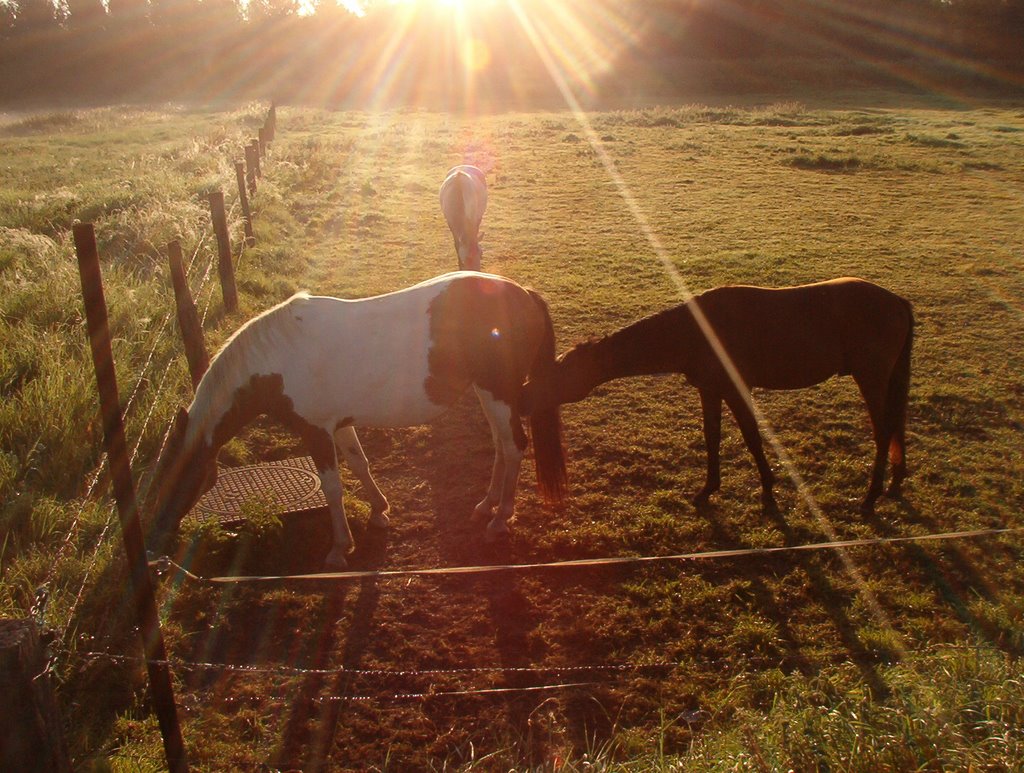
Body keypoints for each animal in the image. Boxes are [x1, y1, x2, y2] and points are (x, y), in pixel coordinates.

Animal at [149, 272, 569, 569]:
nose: (157, 537)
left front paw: (339, 548)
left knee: (514, 446)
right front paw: (380, 510)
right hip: (488, 393)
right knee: (501, 444)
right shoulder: (339, 424)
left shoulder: (315, 431)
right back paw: (487, 504)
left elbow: (332, 488)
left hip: (498, 392)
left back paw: (500, 520)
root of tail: (523, 293)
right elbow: (360, 462)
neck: (279, 356)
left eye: (173, 476)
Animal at [524, 278, 917, 513]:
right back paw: (895, 483)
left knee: (884, 431)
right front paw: (708, 490)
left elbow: (752, 438)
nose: (525, 393)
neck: (695, 332)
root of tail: (897, 301)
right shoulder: (710, 390)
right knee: (895, 425)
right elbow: (711, 437)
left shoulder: (734, 388)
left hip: (871, 377)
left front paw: (768, 493)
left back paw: (870, 497)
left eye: (560, 373)